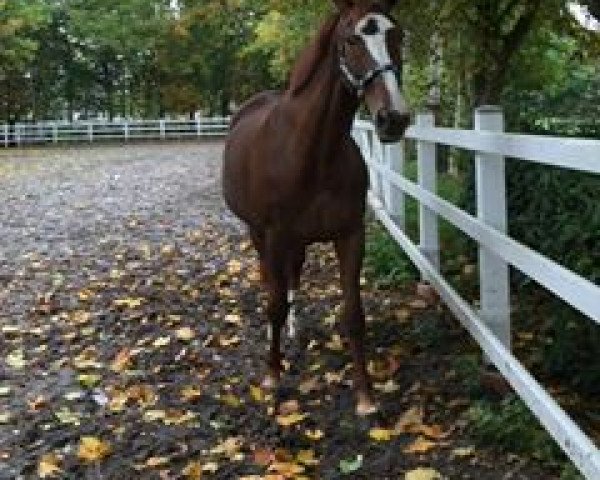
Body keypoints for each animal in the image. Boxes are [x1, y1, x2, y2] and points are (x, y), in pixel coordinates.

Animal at [223, 0, 410, 414]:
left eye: (398, 36)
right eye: (352, 39)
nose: (394, 118)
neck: (311, 153)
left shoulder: (350, 235)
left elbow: (354, 313)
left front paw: (365, 396)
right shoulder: (275, 236)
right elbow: (274, 304)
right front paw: (273, 375)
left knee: (292, 277)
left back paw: (295, 328)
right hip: (258, 234)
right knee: (271, 283)